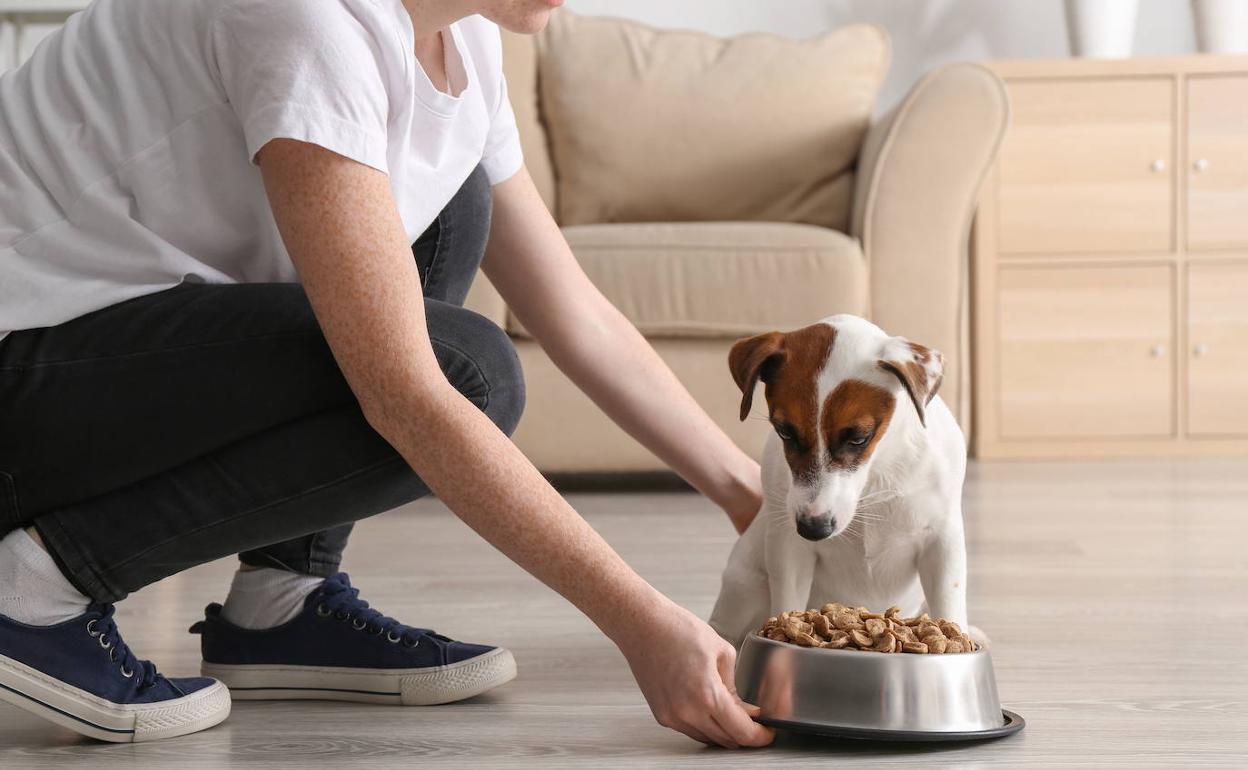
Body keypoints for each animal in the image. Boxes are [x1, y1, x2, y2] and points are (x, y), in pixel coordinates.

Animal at [713, 315, 973, 643]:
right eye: (785, 431)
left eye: (859, 438)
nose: (813, 528)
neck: (874, 476)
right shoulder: (789, 548)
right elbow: (787, 603)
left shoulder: (941, 542)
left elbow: (949, 609)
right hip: (745, 584)